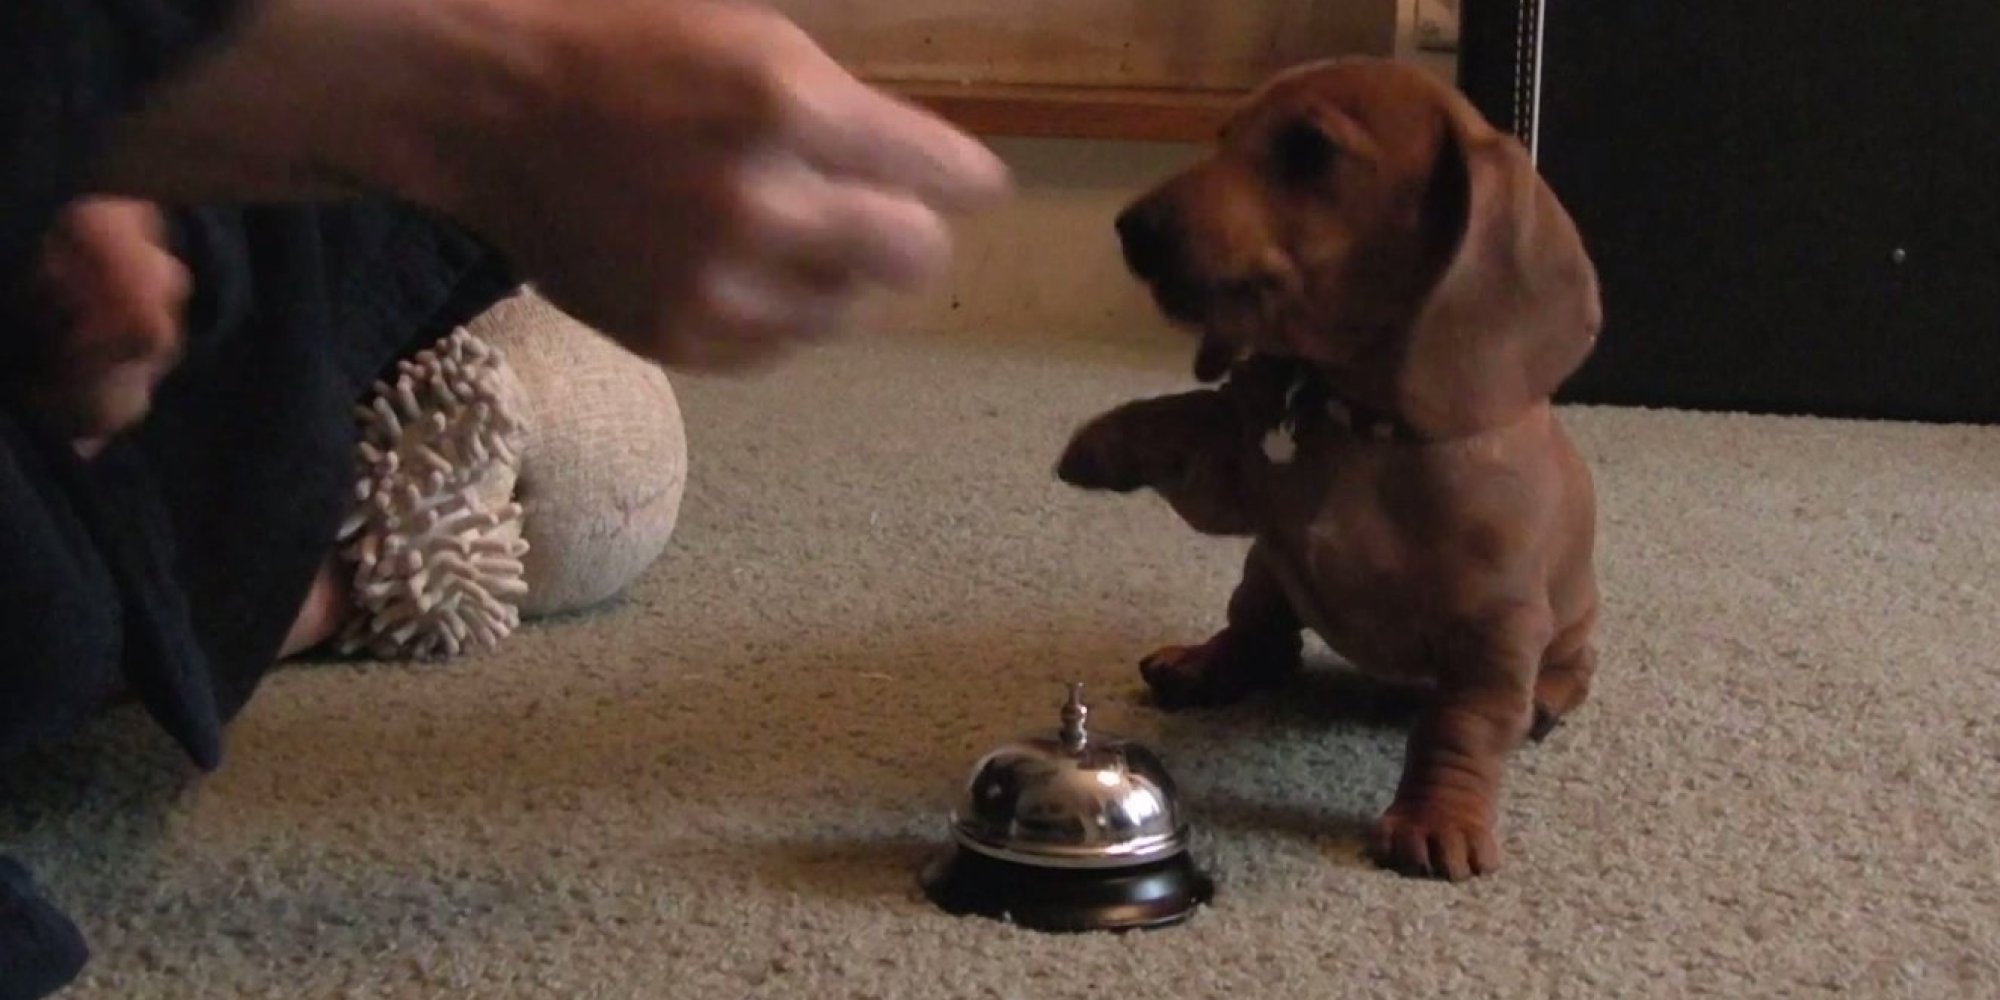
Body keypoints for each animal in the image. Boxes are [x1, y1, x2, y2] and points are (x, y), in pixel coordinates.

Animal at [1056, 58, 1600, 880]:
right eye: (1223, 136)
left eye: (1310, 149)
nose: (1132, 228)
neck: (1358, 423)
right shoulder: (1236, 486)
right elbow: (1198, 416)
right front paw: (1107, 441)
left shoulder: (1495, 631)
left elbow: (1461, 727)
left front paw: (1438, 816)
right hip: (1265, 569)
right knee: (1261, 635)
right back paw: (1204, 665)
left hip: (1570, 627)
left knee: (1572, 669)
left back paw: (1546, 701)